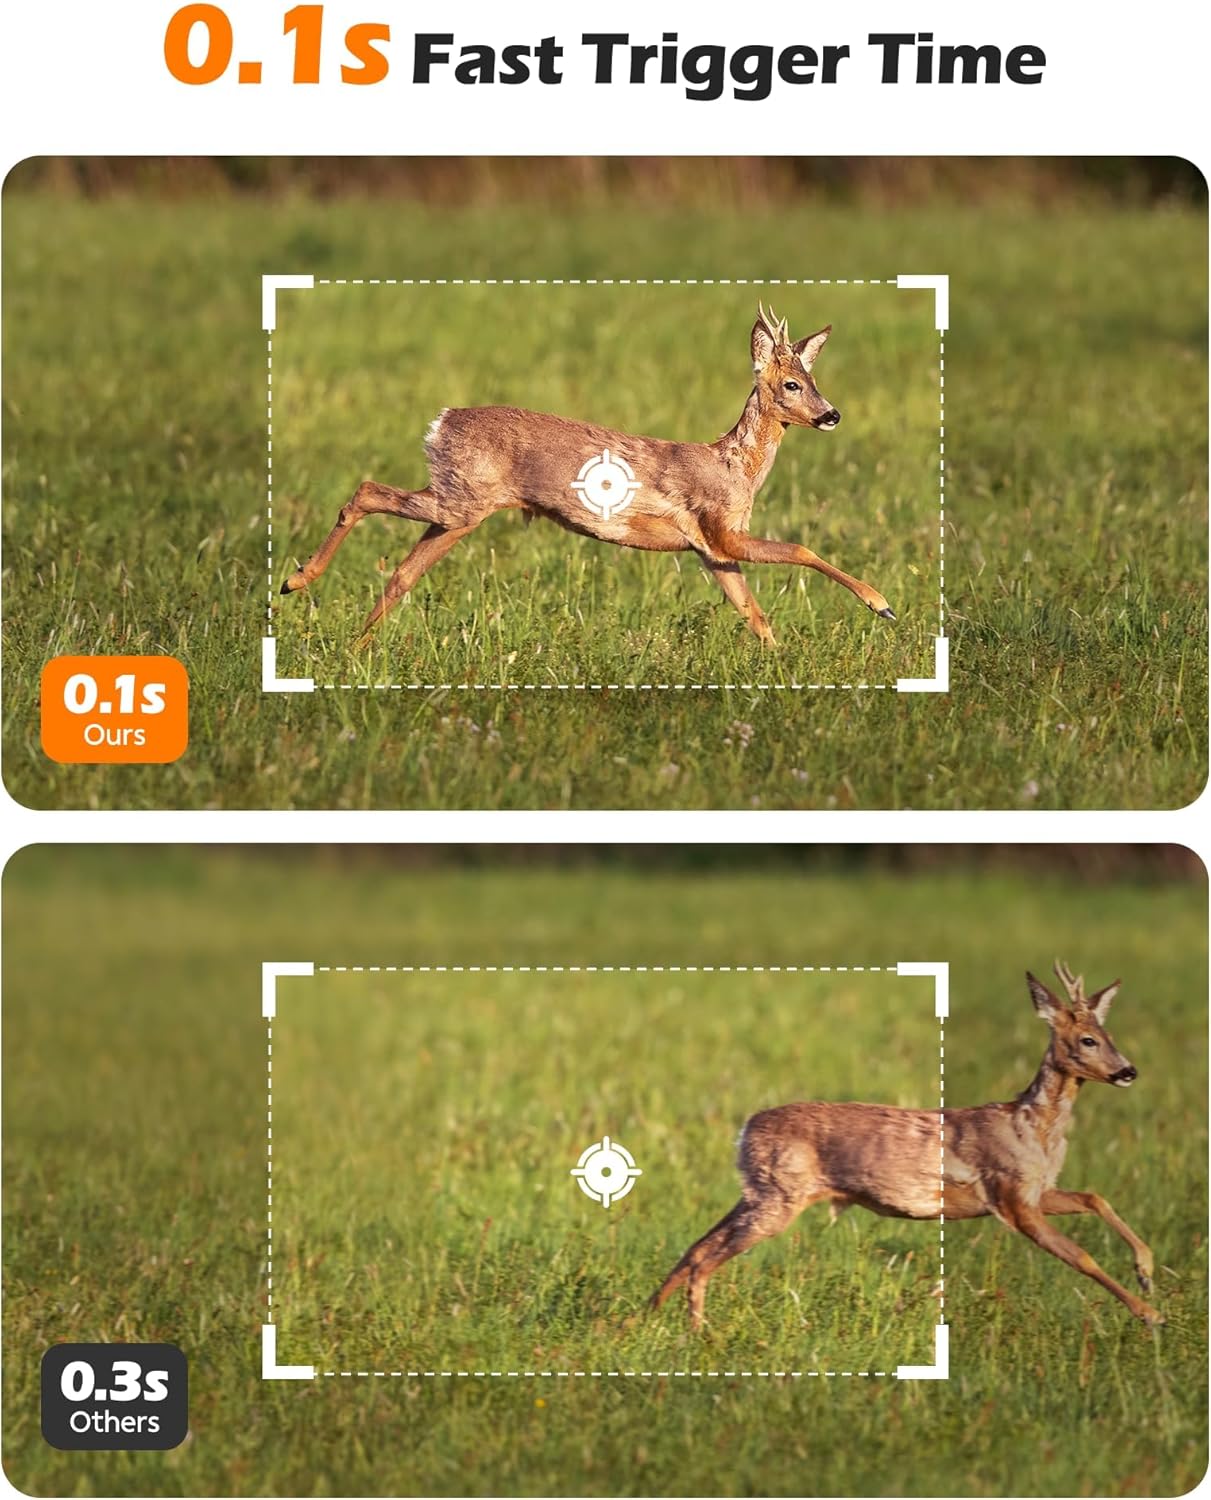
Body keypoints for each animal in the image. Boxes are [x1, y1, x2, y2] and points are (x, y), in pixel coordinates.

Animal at [279, 306, 895, 647]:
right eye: (791, 384)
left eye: (814, 379)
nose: (831, 414)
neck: (735, 468)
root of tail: (441, 422)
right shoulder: (720, 529)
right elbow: (799, 549)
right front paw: (881, 603)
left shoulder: (710, 548)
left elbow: (754, 614)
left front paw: (784, 665)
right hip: (461, 500)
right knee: (367, 491)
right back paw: (296, 581)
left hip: (460, 508)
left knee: (403, 571)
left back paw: (352, 646)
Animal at [651, 962, 1163, 1331]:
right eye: (1088, 1039)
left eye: (1111, 1036)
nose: (1129, 1071)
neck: (1032, 1129)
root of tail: (745, 1129)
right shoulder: (1012, 1197)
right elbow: (1082, 1255)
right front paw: (1151, 1314)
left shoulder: (1034, 1192)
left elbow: (1095, 1197)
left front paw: (1147, 1270)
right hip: (778, 1198)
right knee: (705, 1258)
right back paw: (699, 1333)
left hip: (759, 1193)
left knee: (696, 1246)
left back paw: (648, 1314)